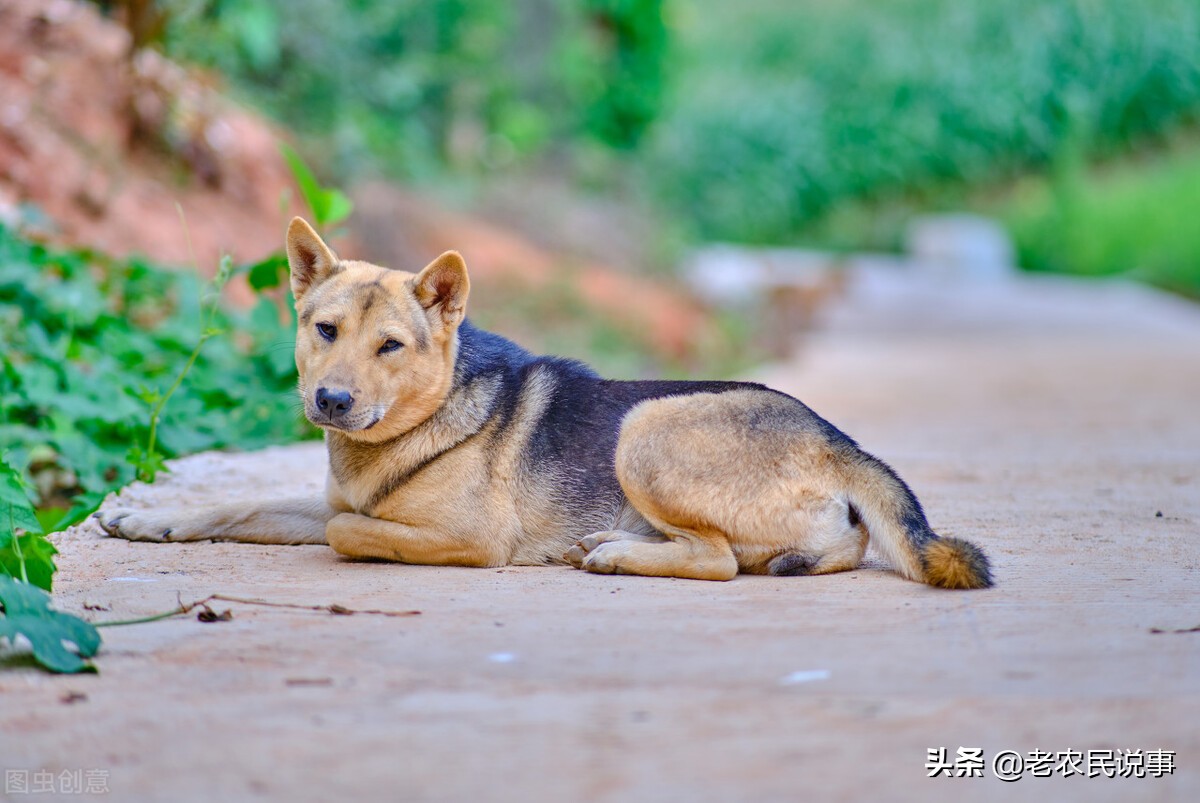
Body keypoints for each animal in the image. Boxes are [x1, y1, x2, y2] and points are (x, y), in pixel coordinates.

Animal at [96, 216, 993, 585]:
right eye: (324, 329)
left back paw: (617, 552)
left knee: (719, 559)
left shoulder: (466, 537)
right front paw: (148, 520)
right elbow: (238, 506)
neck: (420, 423)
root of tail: (836, 439)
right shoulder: (325, 499)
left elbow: (353, 532)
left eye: (390, 346)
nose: (332, 400)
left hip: (646, 428)